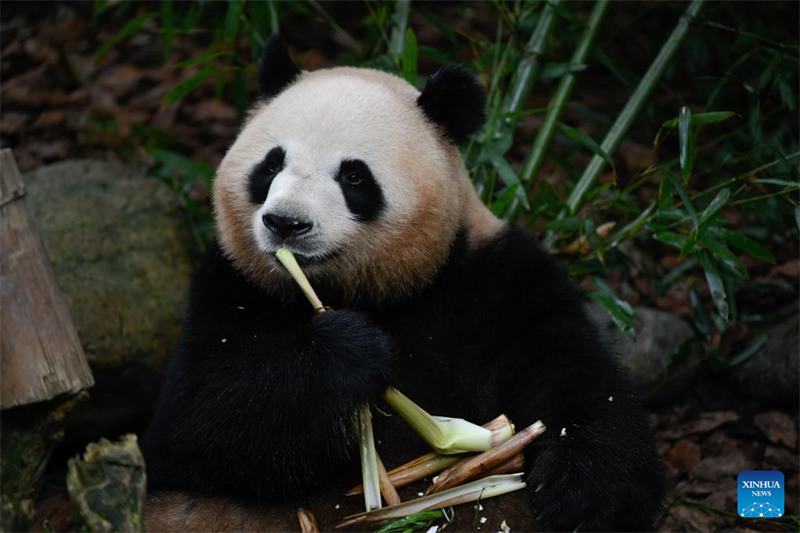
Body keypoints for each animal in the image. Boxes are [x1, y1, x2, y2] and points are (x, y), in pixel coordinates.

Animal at [142, 35, 664, 528]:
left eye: (353, 176)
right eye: (271, 164)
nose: (286, 223)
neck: (368, 291)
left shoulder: (496, 279)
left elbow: (575, 377)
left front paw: (578, 493)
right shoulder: (231, 285)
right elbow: (193, 426)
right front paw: (348, 350)